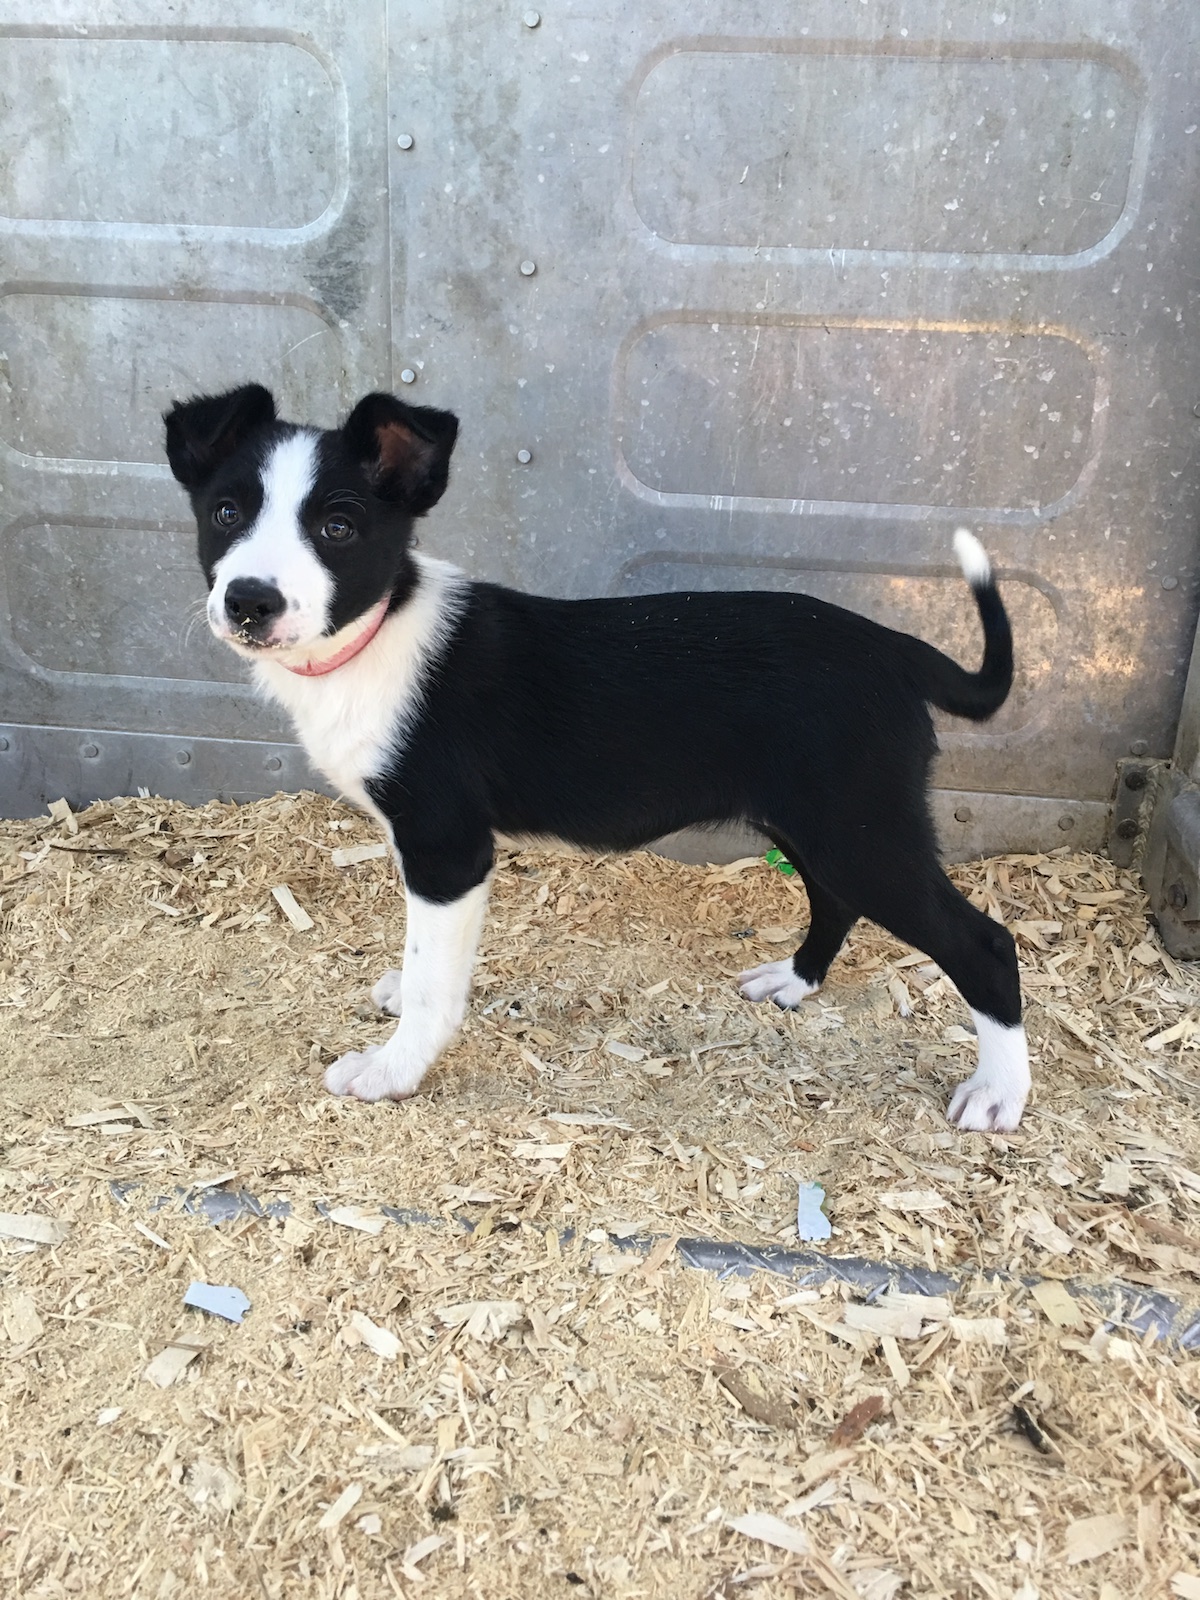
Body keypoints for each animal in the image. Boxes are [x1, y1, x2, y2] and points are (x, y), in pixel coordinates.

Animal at [164, 385, 1036, 1132]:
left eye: (339, 528)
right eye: (226, 512)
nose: (249, 601)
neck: (374, 635)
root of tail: (896, 649)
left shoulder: (448, 849)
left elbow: (435, 982)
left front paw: (392, 1070)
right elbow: (424, 962)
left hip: (861, 831)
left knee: (985, 946)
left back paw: (998, 1095)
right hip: (816, 823)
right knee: (835, 900)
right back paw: (794, 980)